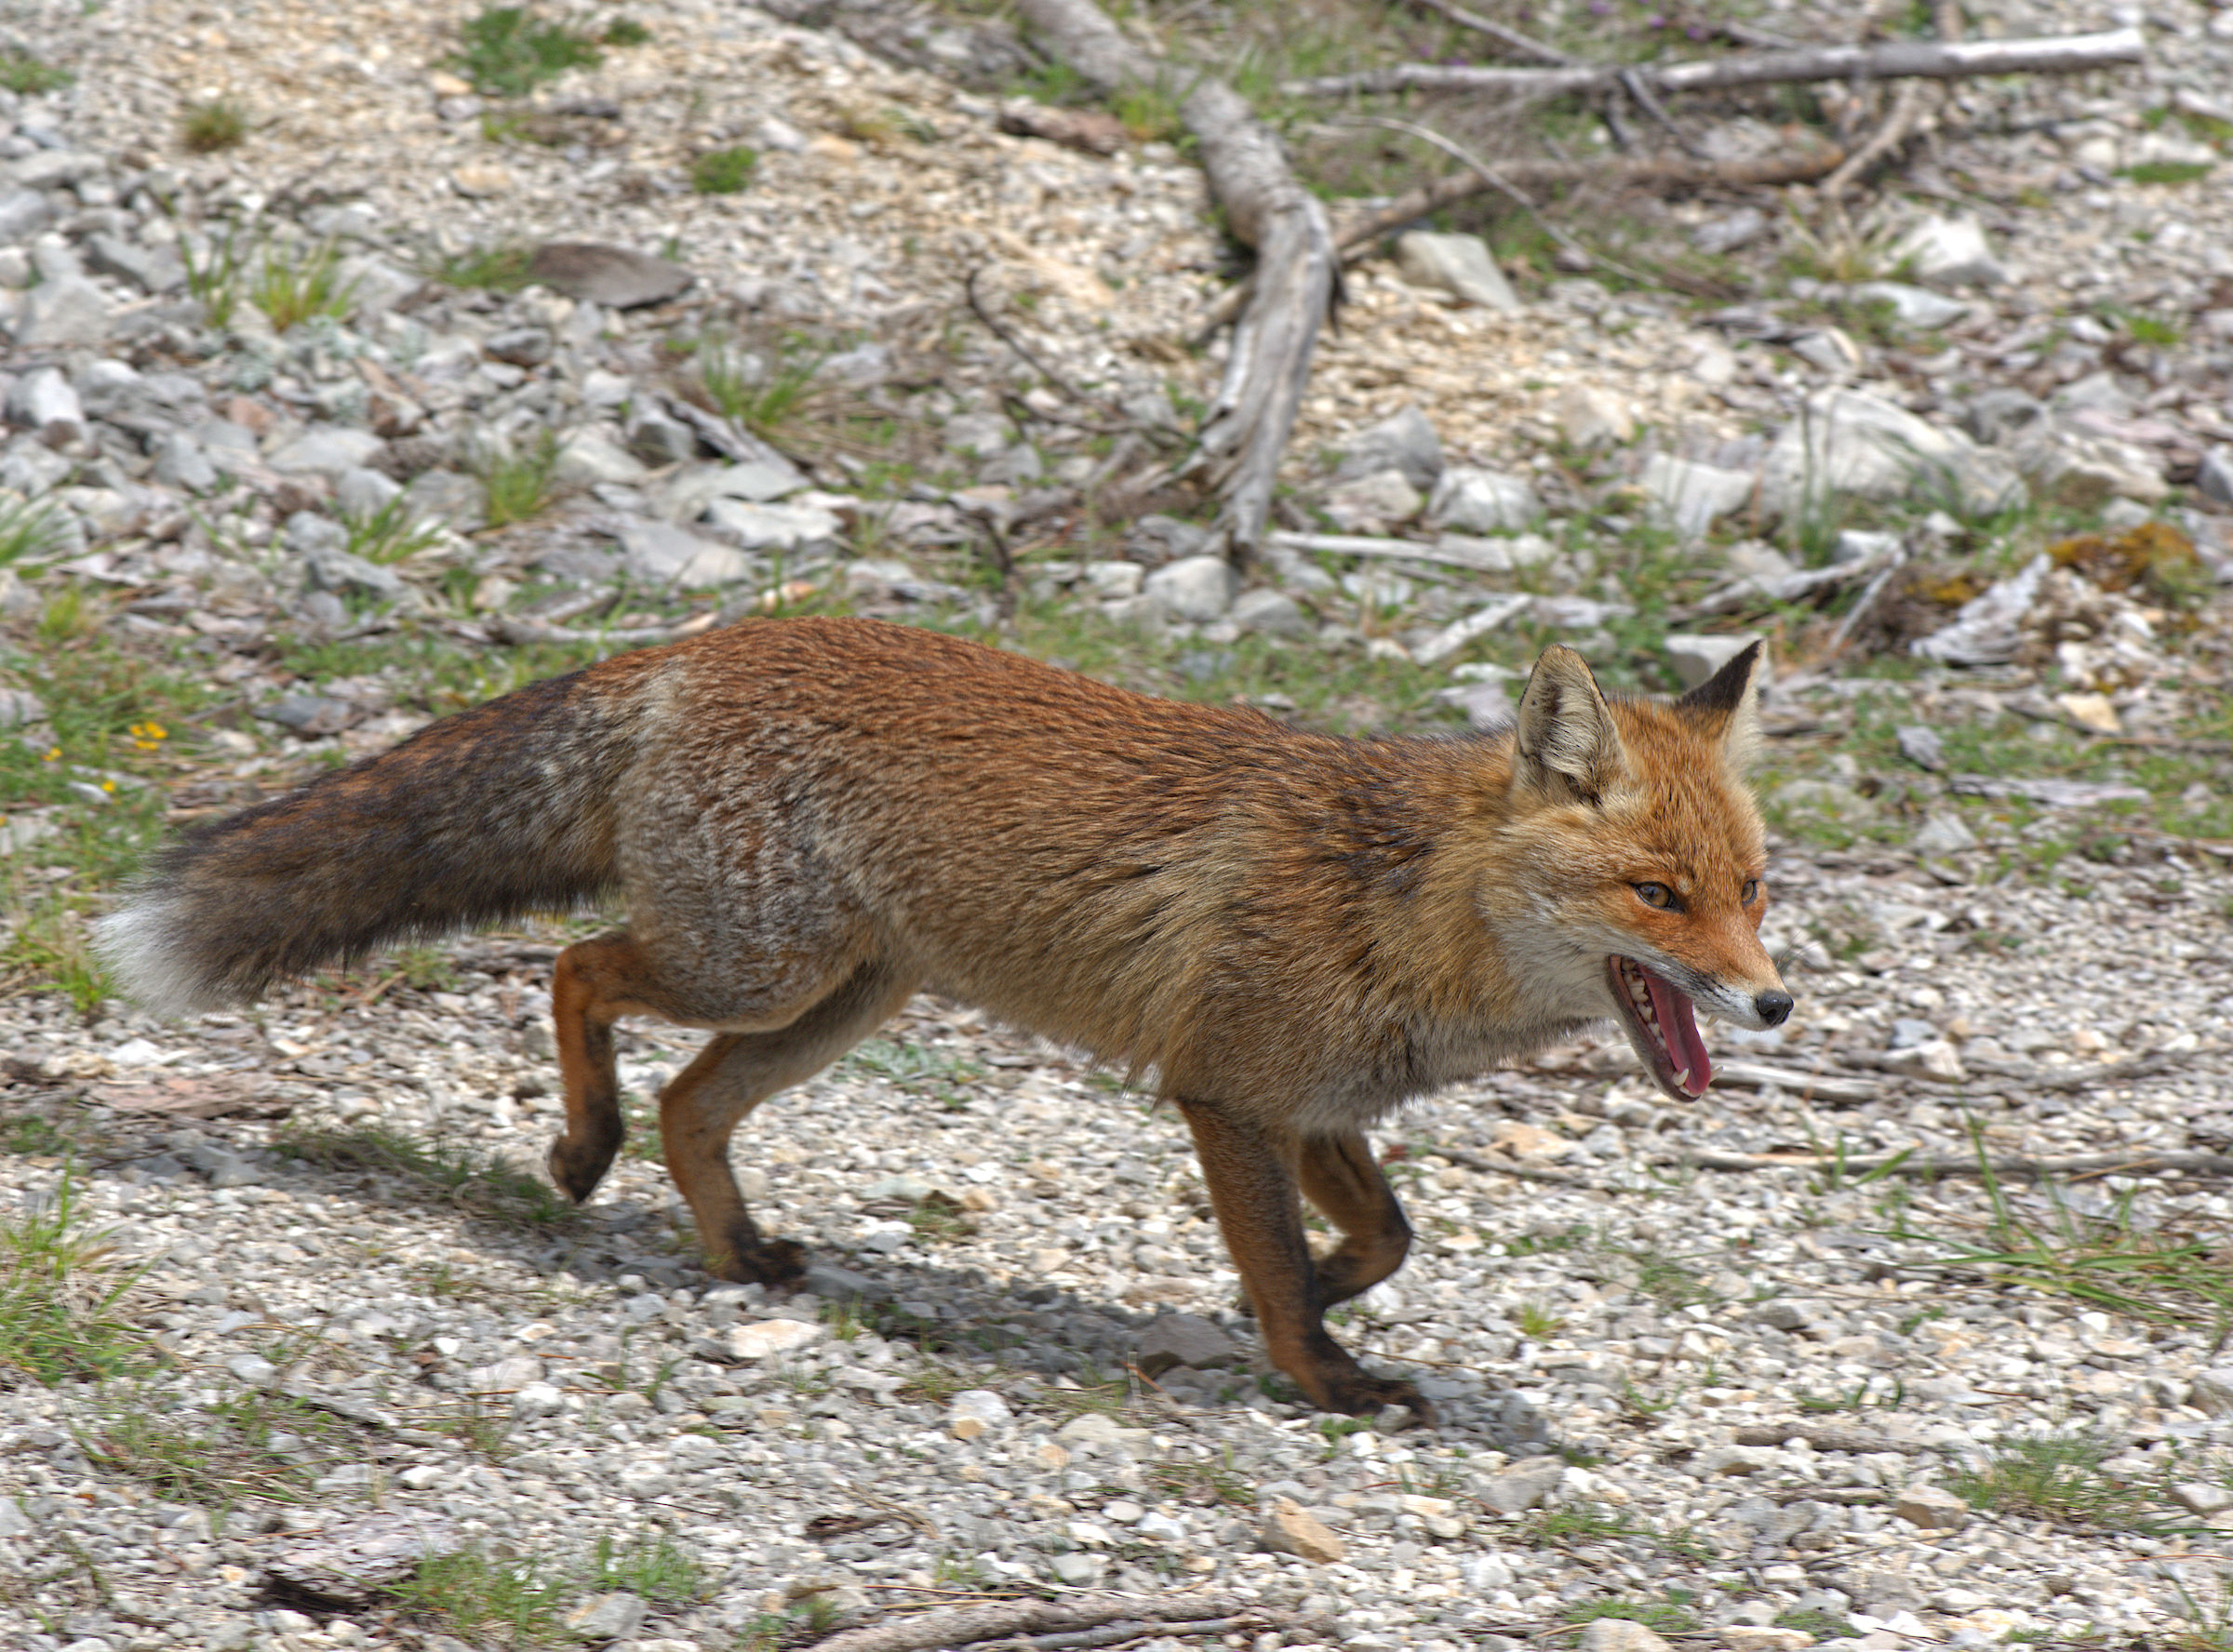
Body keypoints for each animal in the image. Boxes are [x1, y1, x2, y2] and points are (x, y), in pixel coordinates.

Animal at [97, 616, 1790, 1421]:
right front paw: (1316, 1370)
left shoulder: (1307, 1106)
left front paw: (1308, 1295)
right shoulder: (1227, 1093)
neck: (1409, 897)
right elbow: (1296, 1284)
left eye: (1753, 887)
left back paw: (736, 1253)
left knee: (692, 1101)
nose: (1772, 1000)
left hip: (839, 1000)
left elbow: (1382, 1240)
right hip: (756, 967)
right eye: (1657, 895)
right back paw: (579, 1150)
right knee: (576, 972)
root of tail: (702, 643)